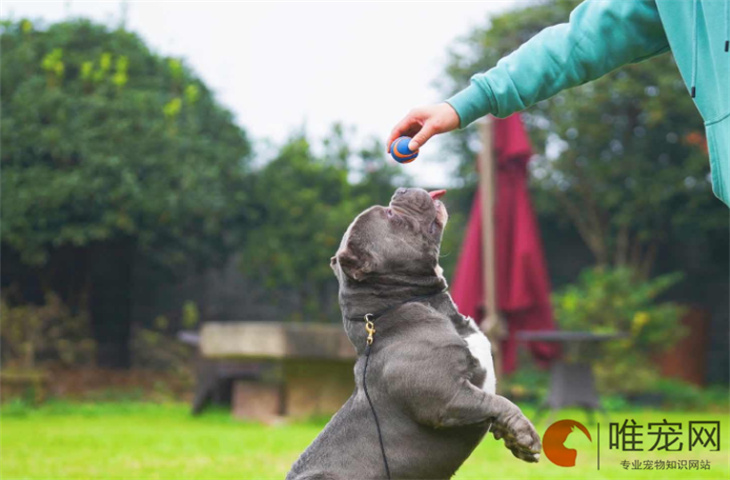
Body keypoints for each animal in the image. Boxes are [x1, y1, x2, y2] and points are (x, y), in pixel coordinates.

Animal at [286, 188, 540, 480]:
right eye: (390, 214)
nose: (401, 190)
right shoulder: (448, 397)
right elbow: (498, 401)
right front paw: (525, 433)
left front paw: (513, 438)